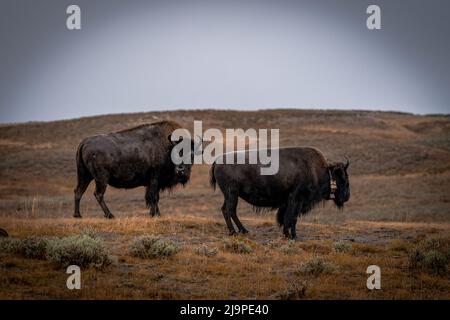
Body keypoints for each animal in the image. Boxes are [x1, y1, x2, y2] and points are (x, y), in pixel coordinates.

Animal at [209, 146, 350, 239]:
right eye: (342, 177)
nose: (347, 196)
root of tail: (217, 160)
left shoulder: (290, 202)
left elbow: (287, 217)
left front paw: (287, 234)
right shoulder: (296, 200)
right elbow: (292, 217)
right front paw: (292, 236)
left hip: (231, 195)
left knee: (229, 210)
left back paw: (243, 231)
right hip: (232, 194)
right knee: (228, 210)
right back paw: (235, 232)